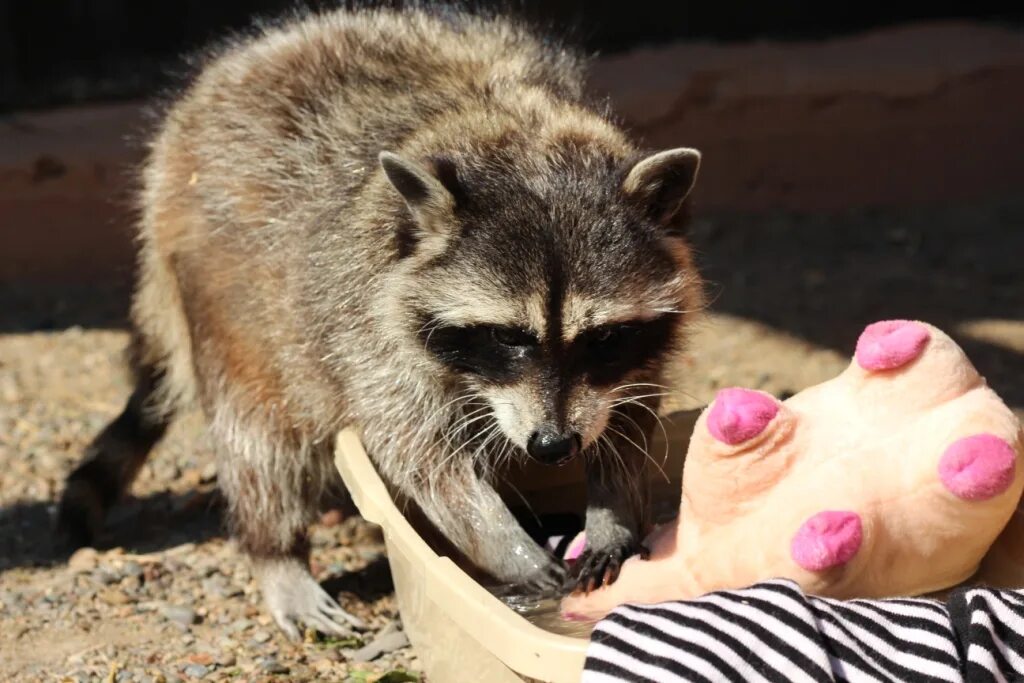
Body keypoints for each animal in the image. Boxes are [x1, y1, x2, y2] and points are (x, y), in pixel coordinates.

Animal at [58, 5, 704, 638]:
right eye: (506, 337)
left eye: (604, 338)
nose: (552, 446)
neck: (516, 138)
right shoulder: (367, 319)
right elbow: (418, 452)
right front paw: (501, 540)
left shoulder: (631, 358)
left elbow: (625, 419)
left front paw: (612, 508)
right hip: (226, 283)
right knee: (258, 435)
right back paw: (276, 552)